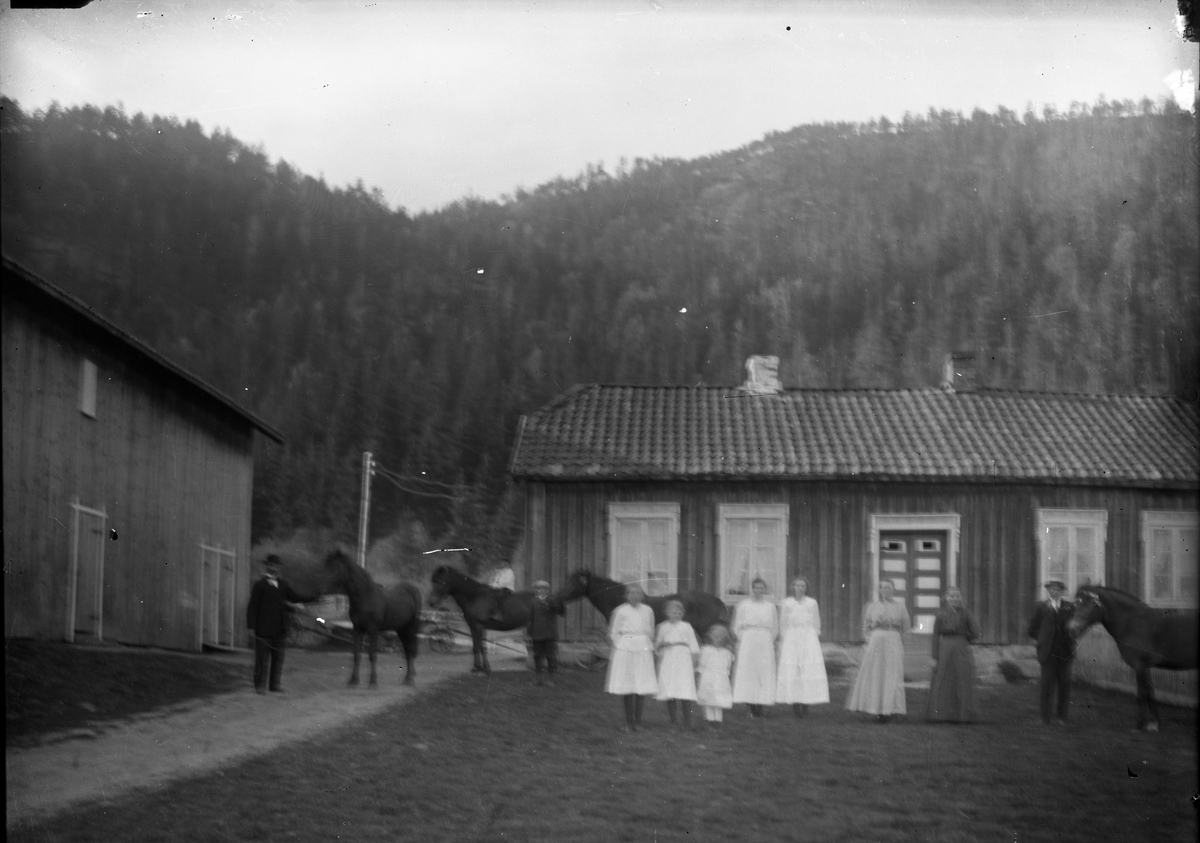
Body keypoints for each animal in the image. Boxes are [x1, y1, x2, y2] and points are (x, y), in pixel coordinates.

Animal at [321, 554, 424, 686]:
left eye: (336, 568)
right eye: (326, 566)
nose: (322, 587)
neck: (365, 598)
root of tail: (413, 588)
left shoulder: (372, 630)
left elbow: (372, 655)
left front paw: (373, 681)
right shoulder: (357, 630)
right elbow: (357, 654)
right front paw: (353, 680)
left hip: (411, 626)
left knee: (410, 648)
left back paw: (409, 679)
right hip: (401, 628)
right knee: (407, 649)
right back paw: (407, 678)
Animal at [1075, 588, 1195, 734]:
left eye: (1092, 603)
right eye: (1076, 603)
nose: (1072, 628)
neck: (1133, 624)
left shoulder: (1139, 666)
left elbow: (1141, 694)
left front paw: (1141, 725)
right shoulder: (1145, 666)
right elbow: (1150, 691)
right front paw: (1154, 722)